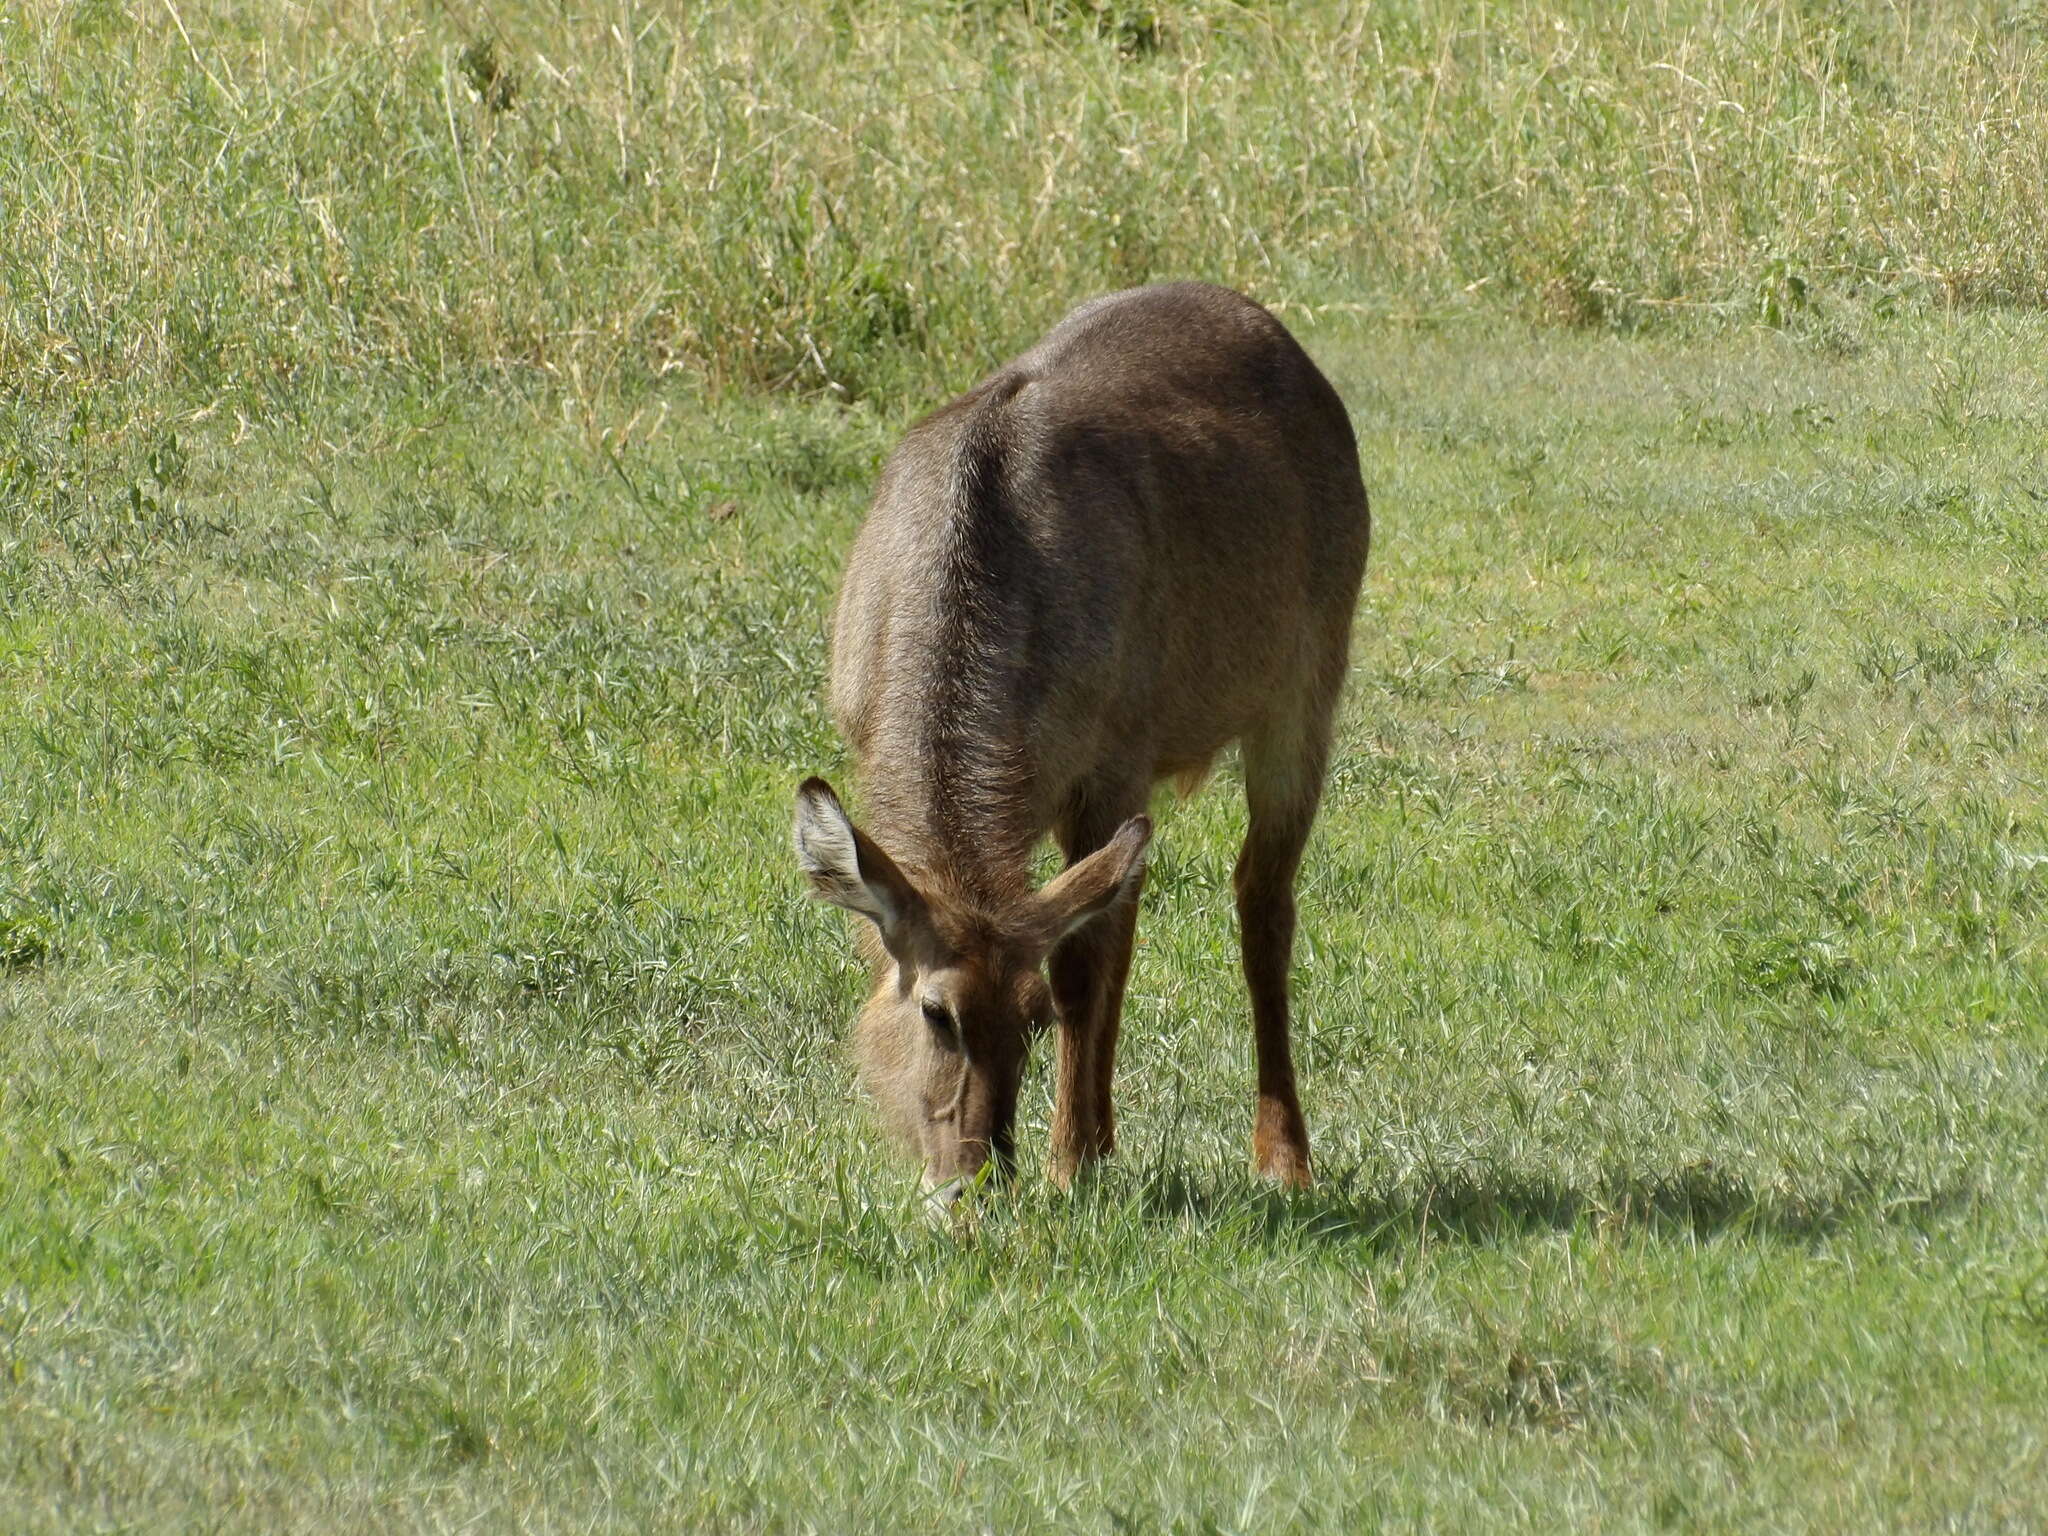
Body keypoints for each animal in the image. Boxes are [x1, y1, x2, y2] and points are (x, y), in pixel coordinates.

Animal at [790, 282, 1368, 1212]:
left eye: (1032, 1018)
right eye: (937, 1012)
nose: (974, 1184)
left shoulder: (1112, 769)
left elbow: (1082, 969)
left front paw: (1069, 1163)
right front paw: (1083, 1148)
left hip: (1303, 696)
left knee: (1262, 906)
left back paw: (1281, 1156)